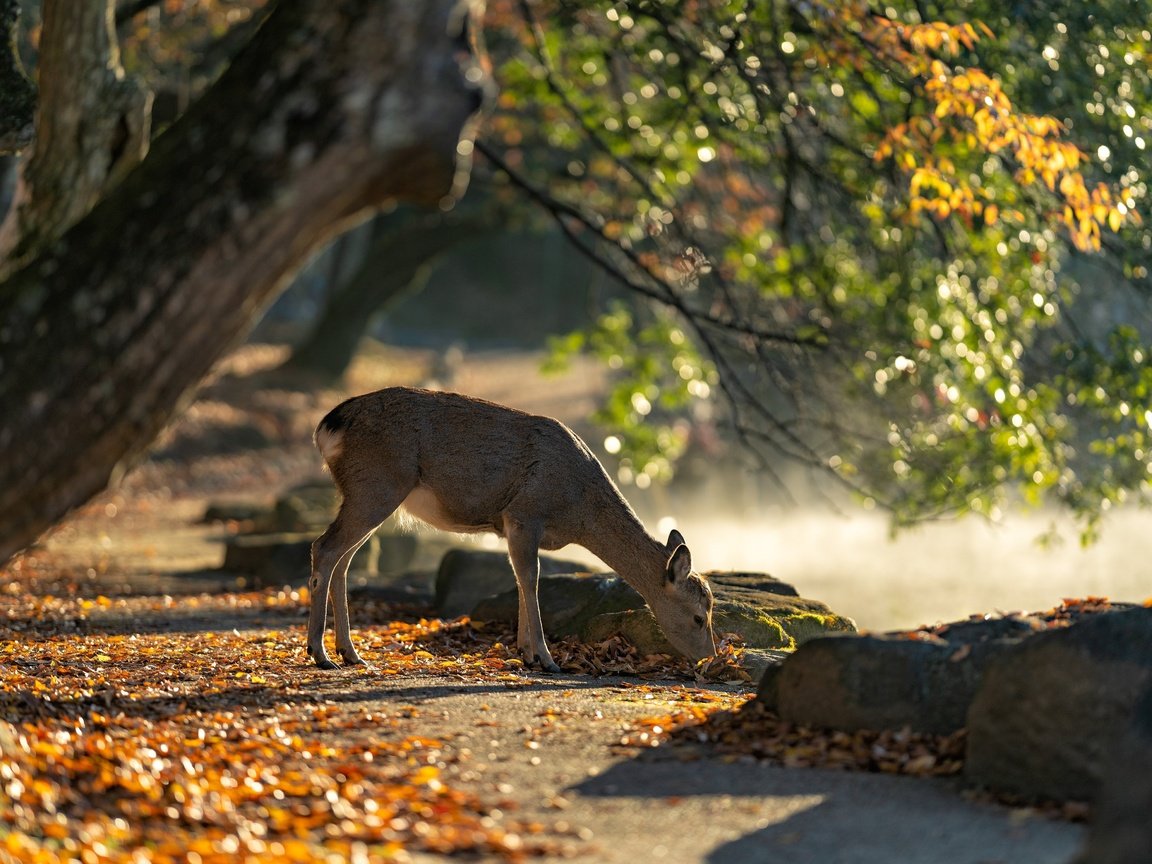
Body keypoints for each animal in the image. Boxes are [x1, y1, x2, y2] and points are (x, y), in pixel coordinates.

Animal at [311, 387, 714, 677]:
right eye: (699, 616)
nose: (709, 658)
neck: (577, 510)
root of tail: (327, 427)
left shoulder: (509, 526)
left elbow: (520, 579)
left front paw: (526, 653)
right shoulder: (524, 513)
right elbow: (531, 578)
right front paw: (546, 659)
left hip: (367, 494)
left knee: (343, 559)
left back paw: (350, 654)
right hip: (377, 485)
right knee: (325, 548)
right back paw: (320, 653)